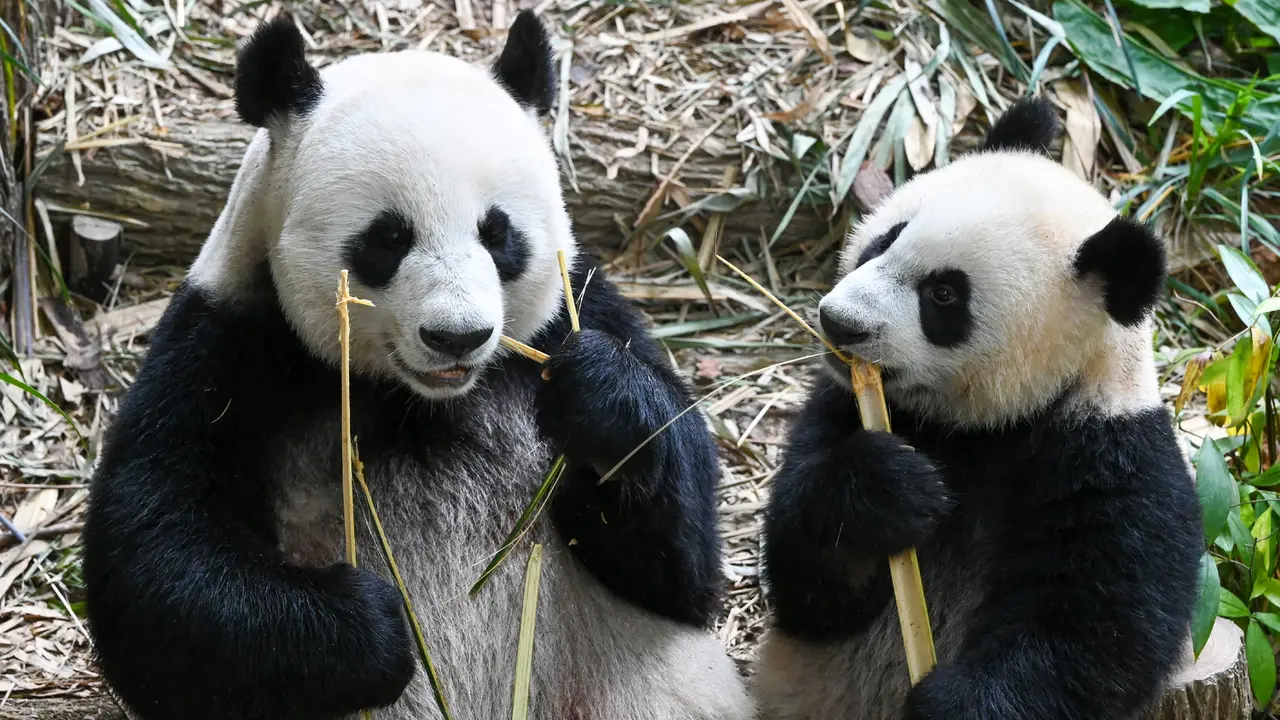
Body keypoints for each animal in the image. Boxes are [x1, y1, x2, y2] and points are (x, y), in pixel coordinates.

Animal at [81, 13, 753, 720]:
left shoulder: (584, 306)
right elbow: (158, 565)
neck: (421, 399)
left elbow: (684, 567)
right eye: (389, 237)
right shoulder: (224, 345)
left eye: (497, 232)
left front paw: (601, 400)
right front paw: (371, 623)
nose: (458, 337)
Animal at [753, 98, 1202, 719]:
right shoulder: (840, 408)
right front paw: (887, 489)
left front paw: (946, 704)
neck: (982, 426)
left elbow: (1095, 631)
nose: (840, 323)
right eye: (885, 240)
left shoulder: (1110, 458)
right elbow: (806, 584)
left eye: (944, 295)